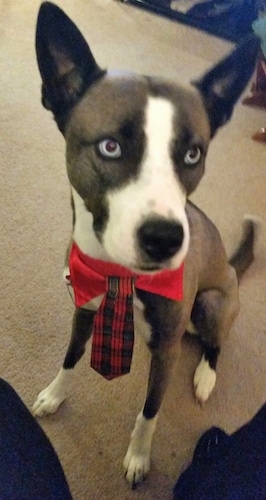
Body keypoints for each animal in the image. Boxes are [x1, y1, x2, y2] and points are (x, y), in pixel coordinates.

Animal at [32, 1, 258, 488]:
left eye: (193, 154)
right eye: (110, 147)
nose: (164, 240)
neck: (121, 276)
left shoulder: (168, 351)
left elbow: (150, 413)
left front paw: (138, 458)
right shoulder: (84, 307)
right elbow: (70, 357)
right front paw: (53, 395)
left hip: (212, 304)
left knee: (215, 343)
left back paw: (206, 377)